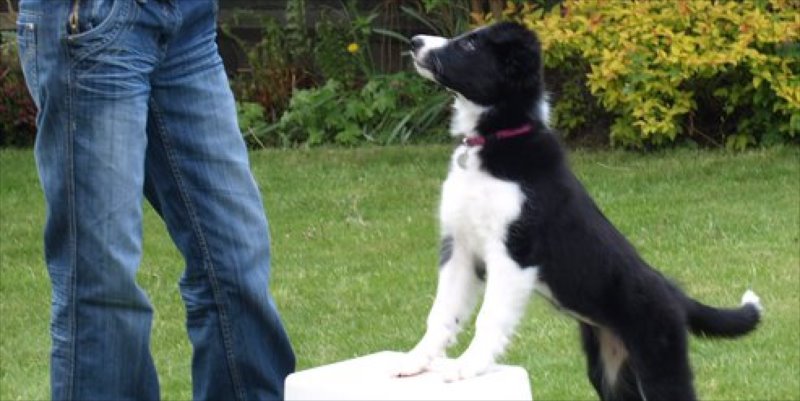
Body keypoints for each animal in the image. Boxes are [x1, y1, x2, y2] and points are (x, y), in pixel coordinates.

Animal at [398, 21, 764, 400]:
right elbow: (442, 312)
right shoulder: (460, 247)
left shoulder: (514, 254)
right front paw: (416, 360)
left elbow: (489, 317)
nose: (414, 42)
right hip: (610, 369)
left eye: (470, 45)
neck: (497, 139)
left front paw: (467, 366)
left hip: (660, 357)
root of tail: (674, 292)